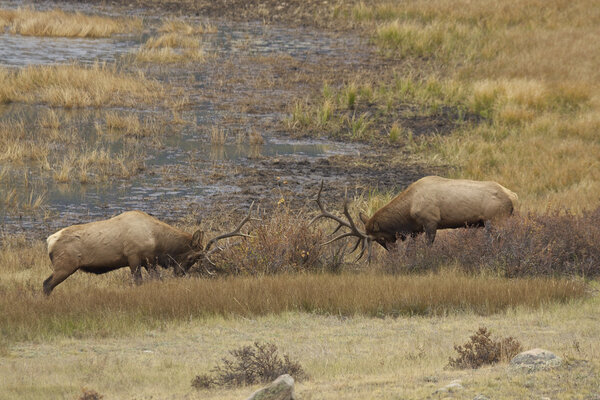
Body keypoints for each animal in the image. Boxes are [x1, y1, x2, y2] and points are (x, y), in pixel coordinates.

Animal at [43, 205, 254, 296]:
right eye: (192, 257)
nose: (180, 273)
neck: (157, 240)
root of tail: (49, 241)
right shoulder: (134, 257)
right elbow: (138, 282)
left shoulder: (149, 261)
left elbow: (155, 279)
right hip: (65, 265)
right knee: (47, 284)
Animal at [312, 177, 516, 260]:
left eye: (379, 238)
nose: (392, 253)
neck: (409, 210)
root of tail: (513, 196)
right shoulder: (416, 230)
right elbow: (412, 249)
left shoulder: (430, 221)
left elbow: (427, 247)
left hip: (495, 220)